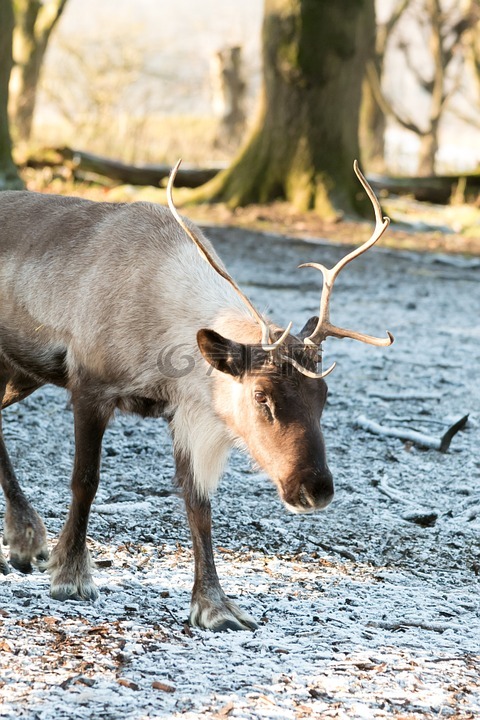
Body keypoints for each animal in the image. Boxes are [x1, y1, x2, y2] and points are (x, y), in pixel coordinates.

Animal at [0, 161, 393, 631]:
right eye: (261, 396)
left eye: (325, 395)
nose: (315, 489)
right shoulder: (89, 387)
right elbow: (85, 481)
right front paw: (71, 575)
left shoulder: (188, 413)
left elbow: (198, 504)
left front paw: (214, 604)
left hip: (20, 374)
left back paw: (23, 540)